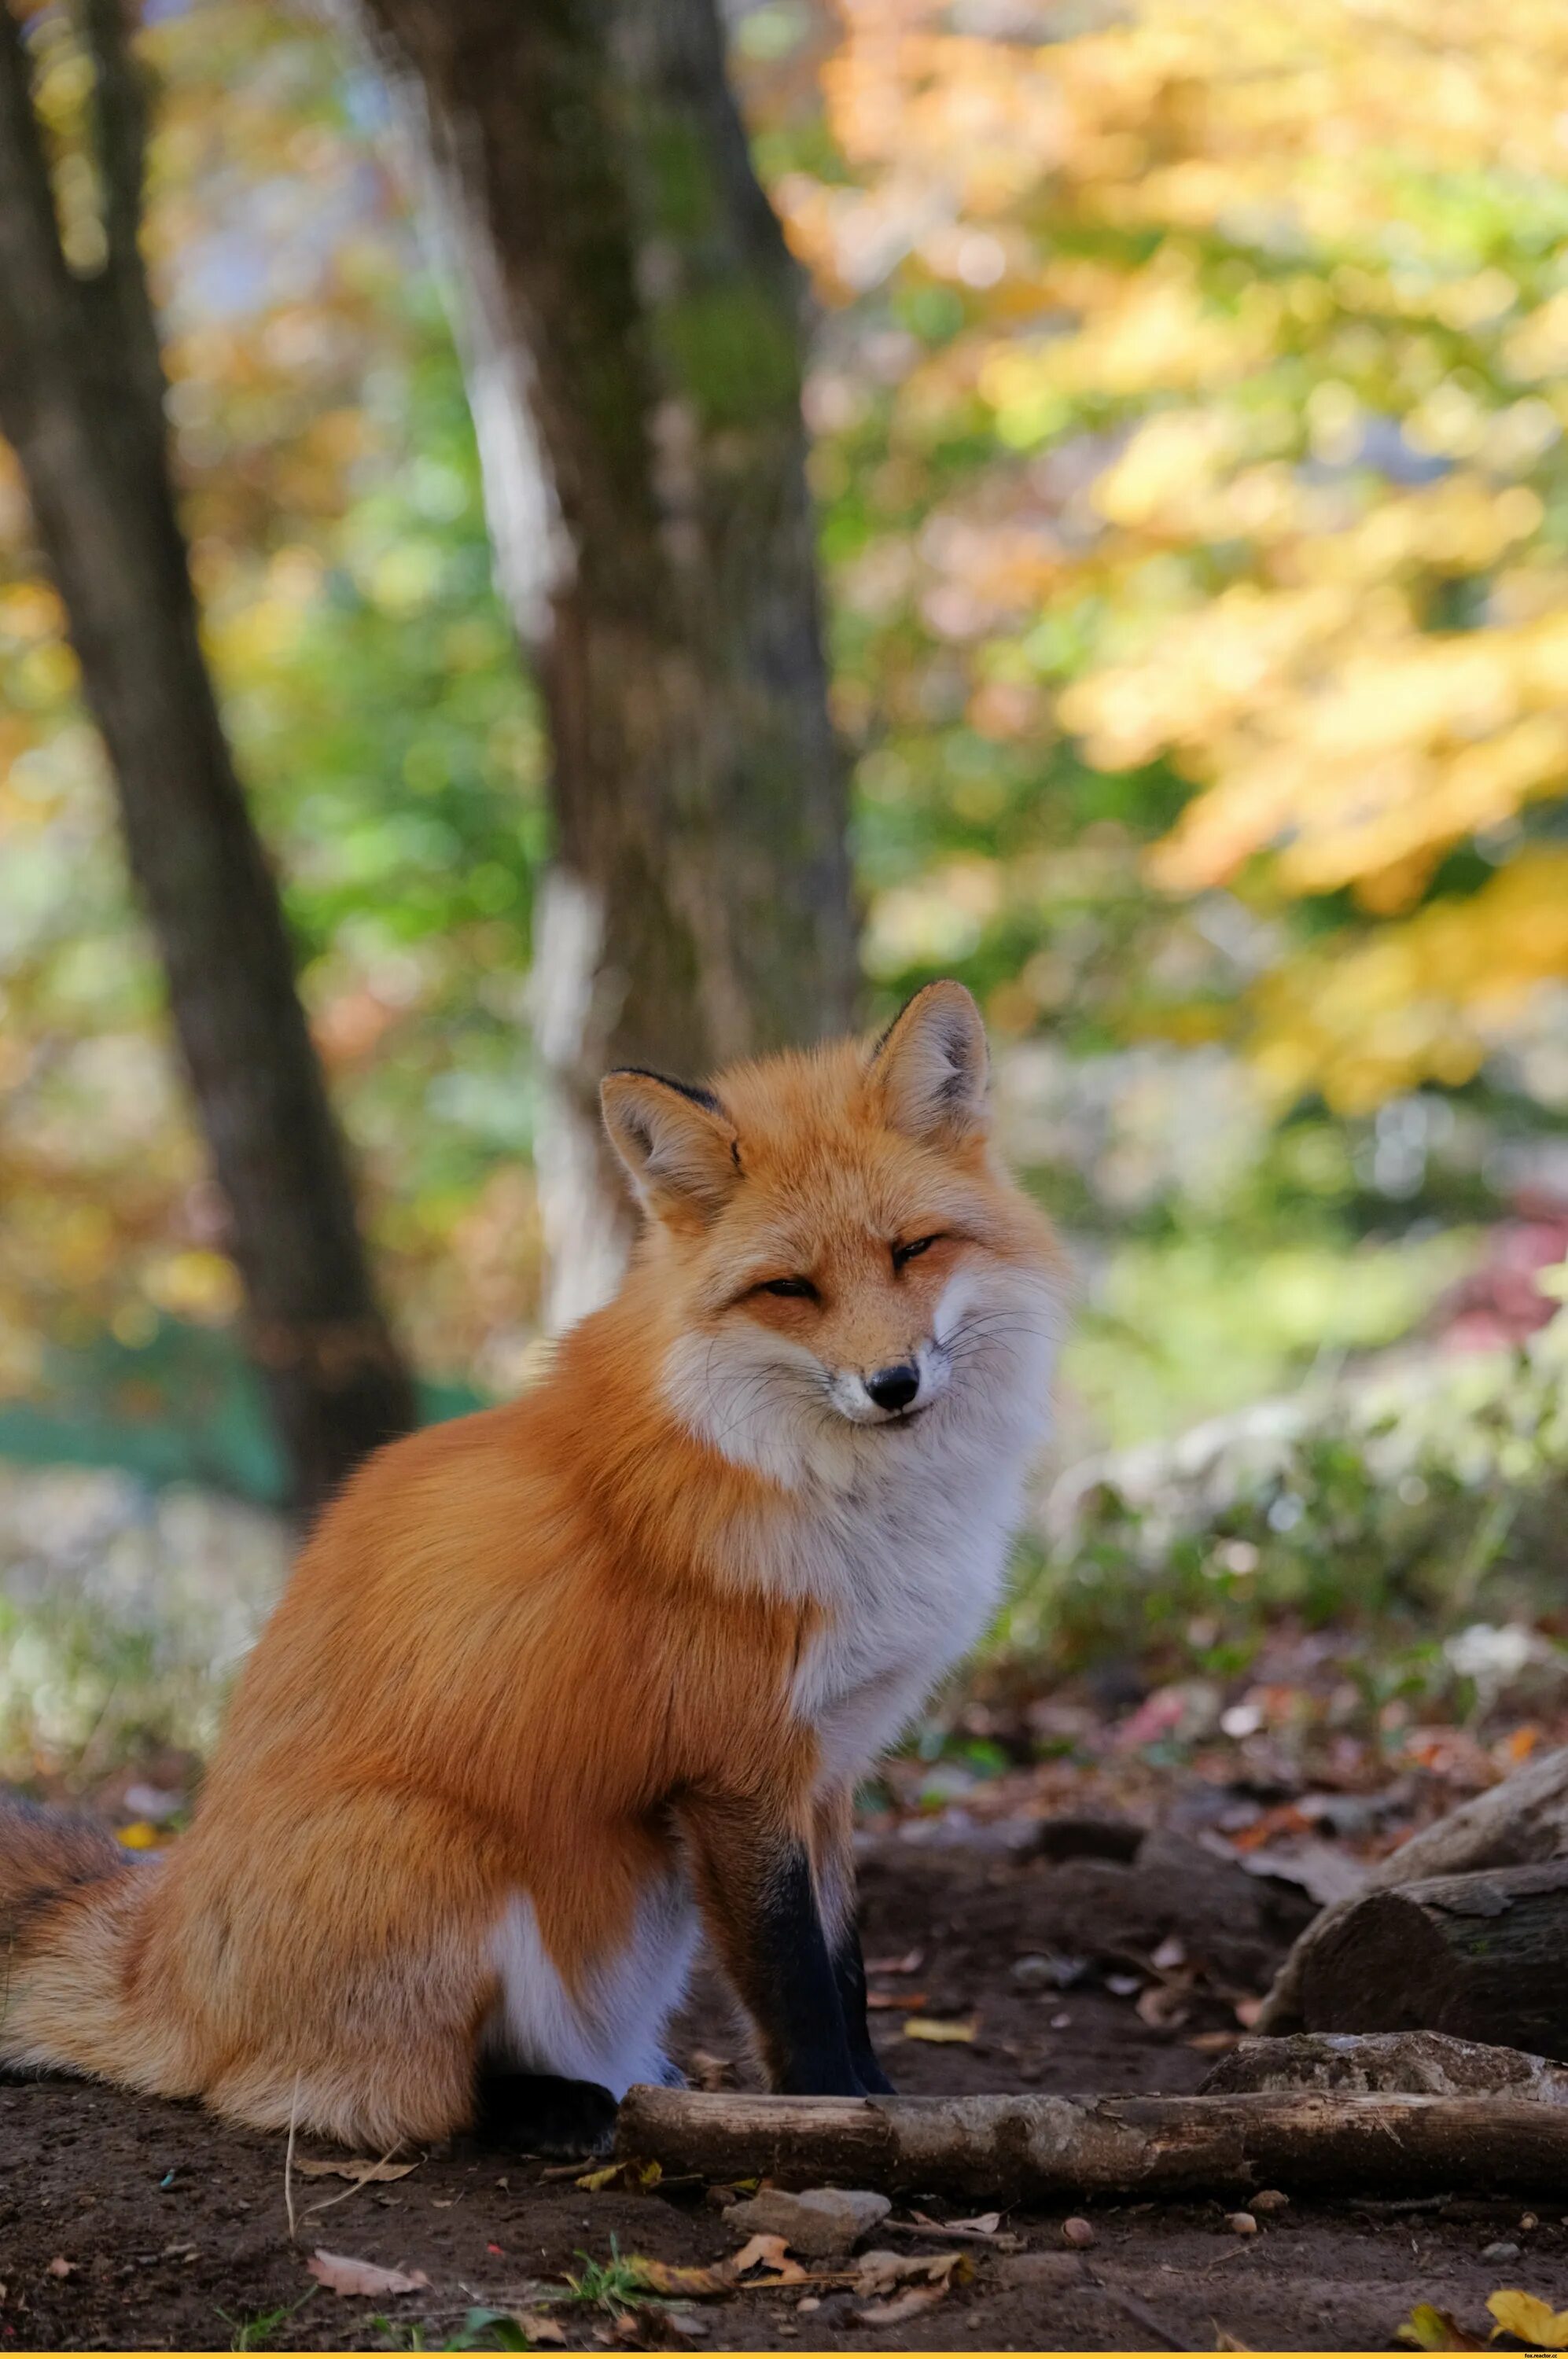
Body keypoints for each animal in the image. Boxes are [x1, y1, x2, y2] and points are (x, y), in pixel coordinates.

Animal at [0, 981, 1066, 2161]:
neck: (826, 1492)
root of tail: (164, 1950)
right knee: (376, 2100)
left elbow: (847, 1966)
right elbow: (793, 1981)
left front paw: (883, 2101)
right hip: (441, 1848)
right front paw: (833, 2120)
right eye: (790, 1288)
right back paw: (558, 2108)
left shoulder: (826, 1768)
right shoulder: (740, 1769)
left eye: (913, 1248)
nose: (891, 1384)